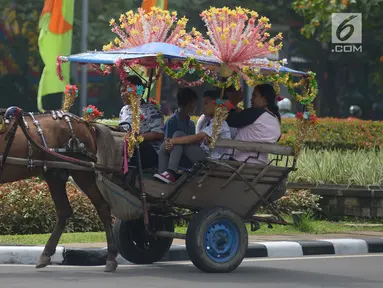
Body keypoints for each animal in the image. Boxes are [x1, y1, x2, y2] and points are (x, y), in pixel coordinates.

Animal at [0, 107, 118, 272]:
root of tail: (86, 124)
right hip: (55, 173)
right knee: (64, 211)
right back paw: (46, 253)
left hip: (81, 171)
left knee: (102, 206)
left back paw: (111, 257)